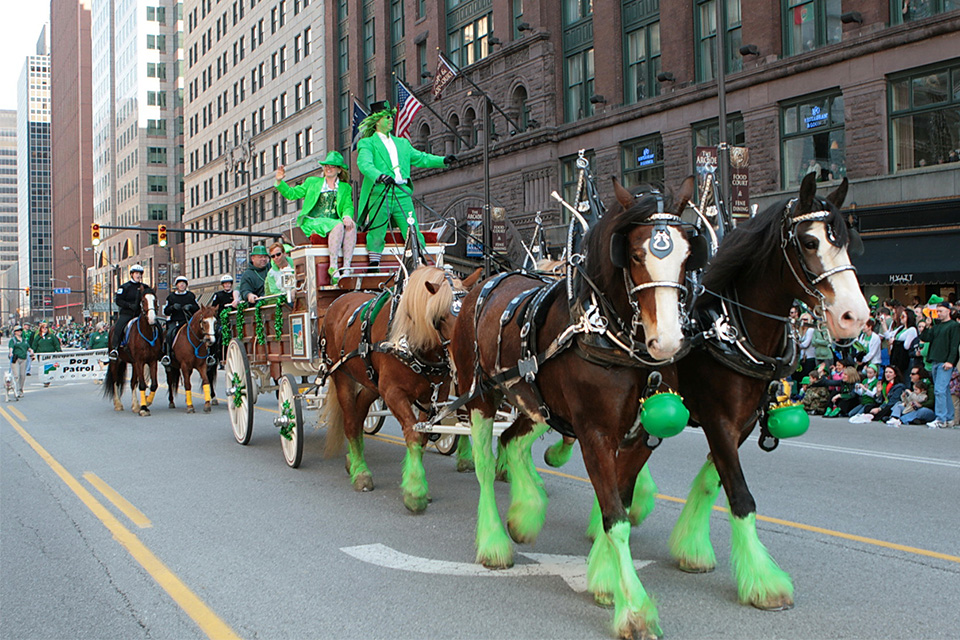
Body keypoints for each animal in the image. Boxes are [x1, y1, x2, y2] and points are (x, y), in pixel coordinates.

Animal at [103, 288, 163, 418]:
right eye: (143, 300)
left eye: (155, 299)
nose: (152, 319)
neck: (146, 334)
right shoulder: (140, 361)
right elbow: (142, 385)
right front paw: (144, 408)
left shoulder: (152, 361)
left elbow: (153, 385)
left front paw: (146, 402)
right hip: (116, 361)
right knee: (115, 381)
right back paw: (118, 404)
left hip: (134, 364)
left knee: (132, 382)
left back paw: (135, 405)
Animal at [316, 266, 480, 516]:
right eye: (439, 317)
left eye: (469, 313)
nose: (462, 357)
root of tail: (339, 300)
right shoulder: (394, 393)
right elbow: (412, 435)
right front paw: (415, 493)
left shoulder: (435, 395)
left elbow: (422, 438)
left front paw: (417, 484)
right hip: (342, 376)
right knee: (351, 423)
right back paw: (360, 472)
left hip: (371, 384)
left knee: (360, 412)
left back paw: (353, 461)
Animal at [450, 176, 696, 640]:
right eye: (635, 254)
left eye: (688, 252)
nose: (668, 341)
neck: (605, 333)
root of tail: (485, 282)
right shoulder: (594, 433)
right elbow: (615, 517)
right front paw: (635, 610)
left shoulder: (640, 436)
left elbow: (617, 505)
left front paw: (603, 579)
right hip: (479, 396)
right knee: (485, 466)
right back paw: (493, 541)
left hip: (533, 403)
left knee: (512, 442)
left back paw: (526, 514)